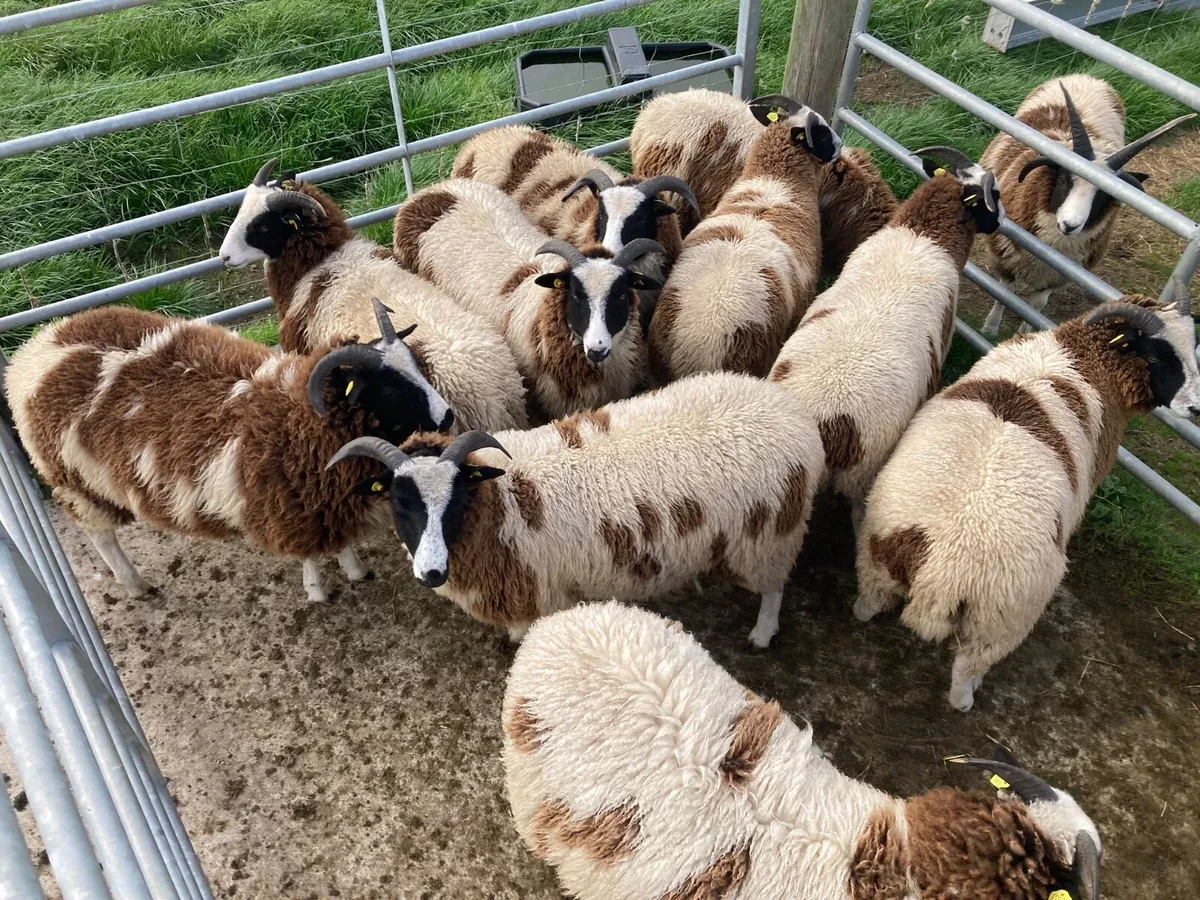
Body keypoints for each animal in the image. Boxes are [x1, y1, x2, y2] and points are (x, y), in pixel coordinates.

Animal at [5, 300, 451, 603]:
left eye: (416, 366)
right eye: (388, 388)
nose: (446, 417)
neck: (295, 415)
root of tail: (34, 349)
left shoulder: (327, 496)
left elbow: (338, 537)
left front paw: (355, 568)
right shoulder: (289, 502)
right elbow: (308, 552)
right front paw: (318, 590)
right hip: (75, 478)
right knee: (100, 534)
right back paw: (135, 584)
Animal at [325, 371, 825, 648]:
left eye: (457, 499)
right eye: (399, 501)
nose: (431, 573)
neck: (503, 503)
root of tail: (795, 415)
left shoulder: (547, 591)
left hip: (769, 533)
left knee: (774, 587)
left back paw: (762, 635)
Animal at [855, 285, 1200, 711]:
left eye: (1193, 347)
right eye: (1155, 355)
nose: (1196, 408)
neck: (1080, 356)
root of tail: (943, 571)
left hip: (877, 556)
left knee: (868, 602)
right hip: (1001, 620)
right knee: (966, 669)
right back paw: (967, 697)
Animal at [979, 75, 1195, 334]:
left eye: (1104, 195)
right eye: (1063, 179)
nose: (1069, 225)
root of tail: (1088, 78)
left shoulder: (1057, 276)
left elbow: (1037, 305)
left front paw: (1026, 331)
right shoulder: (1005, 254)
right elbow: (1004, 293)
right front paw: (990, 328)